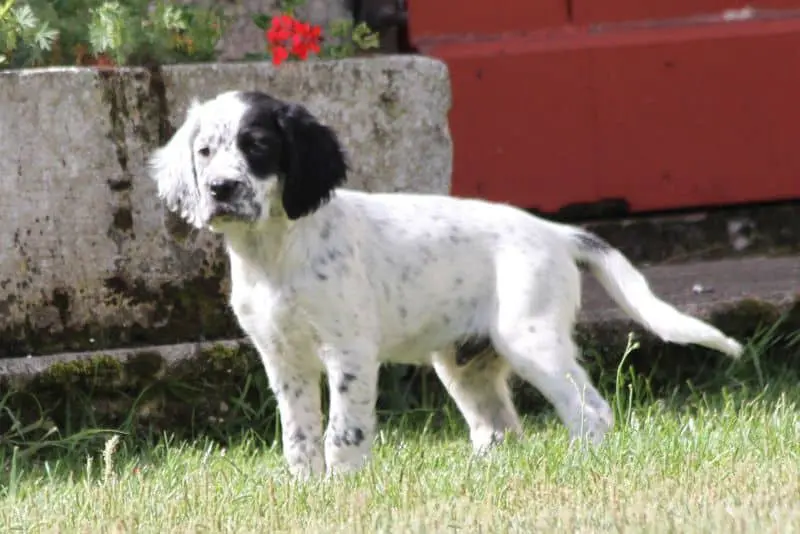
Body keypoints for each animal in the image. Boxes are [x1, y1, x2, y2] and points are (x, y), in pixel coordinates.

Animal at [148, 90, 744, 477]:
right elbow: (299, 433)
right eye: (205, 151)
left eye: (258, 146)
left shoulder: (349, 350)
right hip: (465, 363)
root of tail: (555, 232)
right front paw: (305, 486)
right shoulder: (281, 357)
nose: (221, 190)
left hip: (532, 341)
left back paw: (582, 464)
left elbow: (344, 428)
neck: (275, 251)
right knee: (499, 428)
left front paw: (343, 484)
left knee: (591, 411)